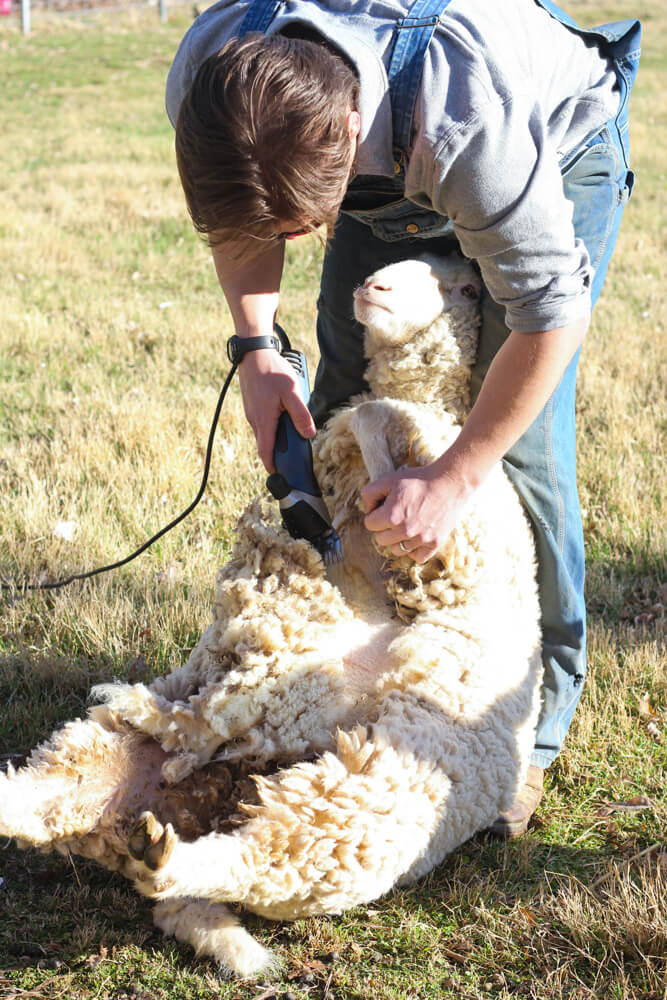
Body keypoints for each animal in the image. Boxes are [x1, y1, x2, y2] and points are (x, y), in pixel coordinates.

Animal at [0, 254, 544, 980]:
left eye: (460, 284)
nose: (370, 287)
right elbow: (361, 423)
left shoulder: (455, 535)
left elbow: (375, 415)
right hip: (114, 749)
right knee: (50, 804)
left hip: (361, 816)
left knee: (235, 858)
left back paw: (163, 843)